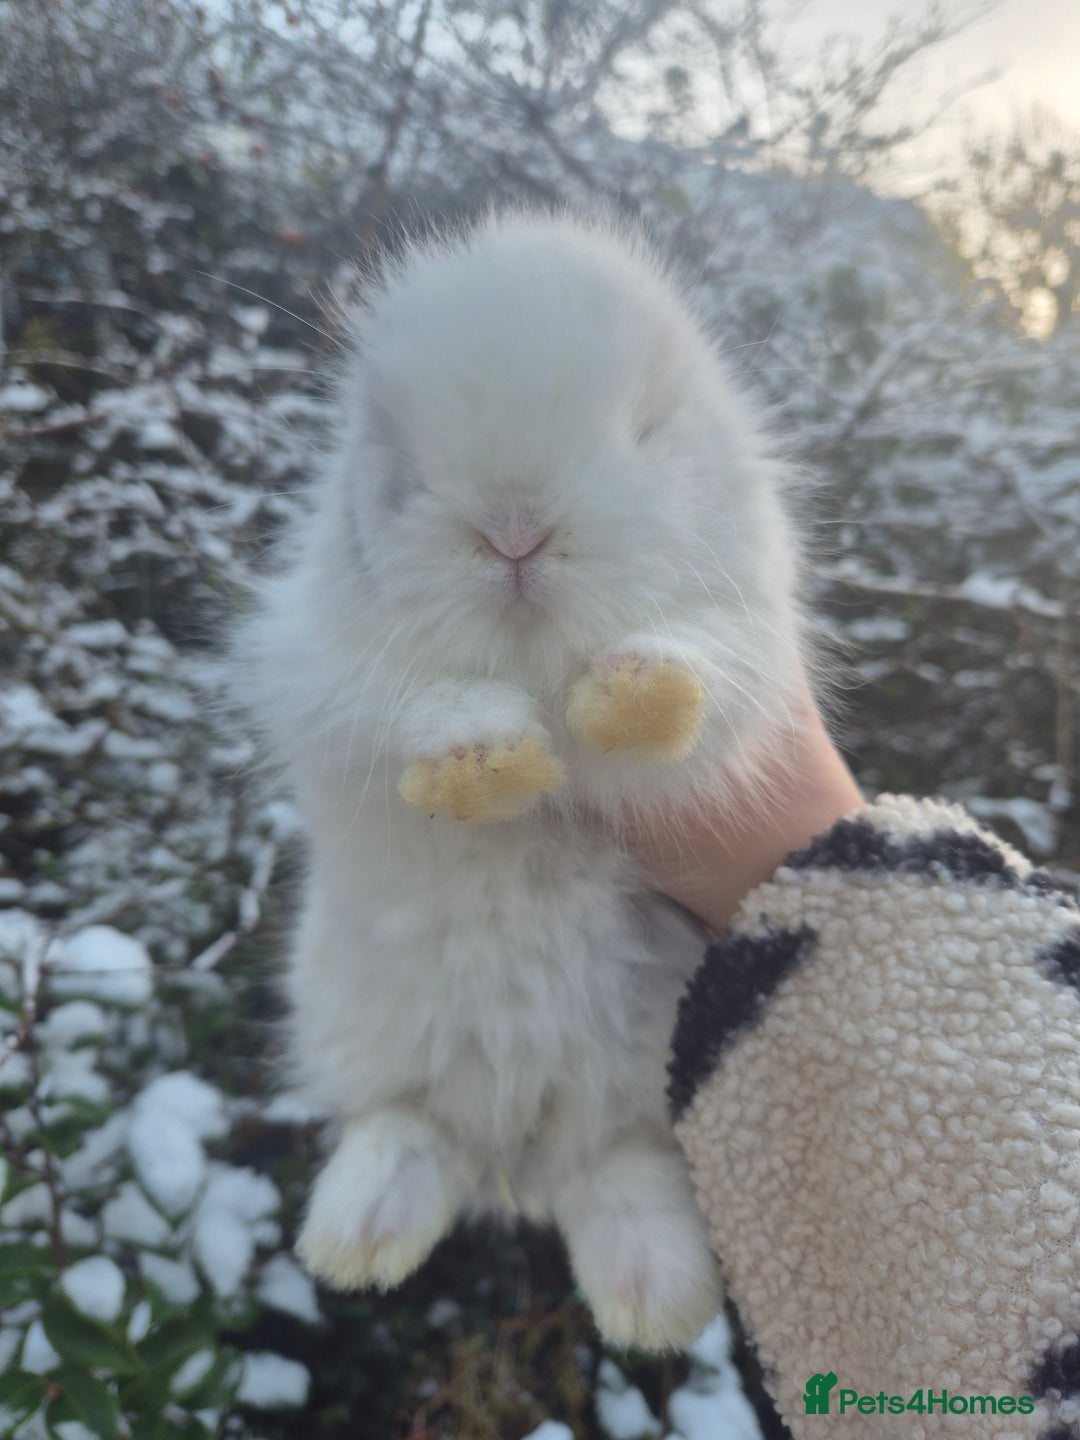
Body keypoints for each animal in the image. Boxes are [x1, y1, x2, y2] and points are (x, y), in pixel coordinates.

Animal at [233, 210, 808, 1351]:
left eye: (647, 428)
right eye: (395, 458)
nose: (513, 532)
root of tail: (521, 1150)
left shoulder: (754, 647)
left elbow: (701, 671)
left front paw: (633, 699)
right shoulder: (326, 674)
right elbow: (422, 706)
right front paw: (487, 764)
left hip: (647, 1089)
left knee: (621, 1171)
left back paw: (654, 1309)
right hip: (359, 1028)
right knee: (406, 1125)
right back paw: (357, 1247)